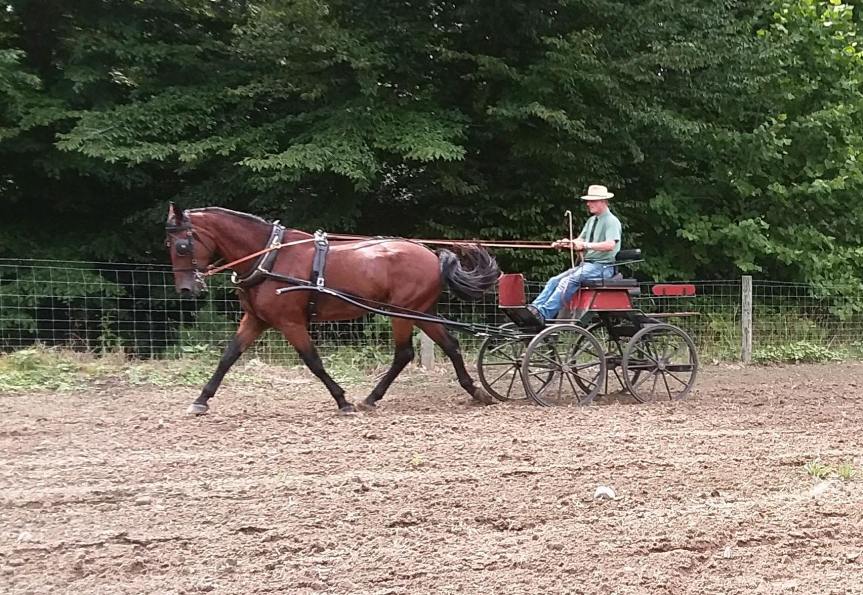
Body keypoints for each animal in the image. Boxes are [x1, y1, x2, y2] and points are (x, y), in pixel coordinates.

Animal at [164, 203, 501, 414]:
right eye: (168, 245)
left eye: (182, 245)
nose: (186, 289)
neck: (268, 257)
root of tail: (431, 254)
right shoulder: (256, 319)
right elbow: (228, 356)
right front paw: (201, 400)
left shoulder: (291, 322)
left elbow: (312, 361)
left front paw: (342, 402)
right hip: (421, 312)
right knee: (450, 345)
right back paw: (476, 391)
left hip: (403, 312)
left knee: (404, 353)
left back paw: (370, 398)